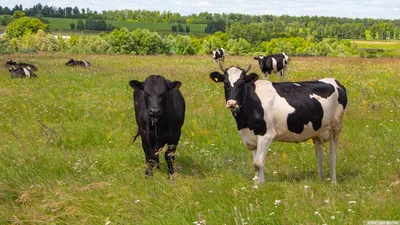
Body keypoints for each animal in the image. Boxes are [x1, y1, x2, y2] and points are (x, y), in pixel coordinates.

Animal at [209, 64, 346, 184]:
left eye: (242, 84)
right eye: (225, 83)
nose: (232, 103)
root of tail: (334, 81)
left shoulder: (266, 135)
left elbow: (258, 163)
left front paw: (258, 186)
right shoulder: (251, 137)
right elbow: (257, 162)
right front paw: (257, 184)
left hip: (336, 127)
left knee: (333, 154)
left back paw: (333, 182)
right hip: (316, 132)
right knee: (319, 155)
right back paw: (321, 179)